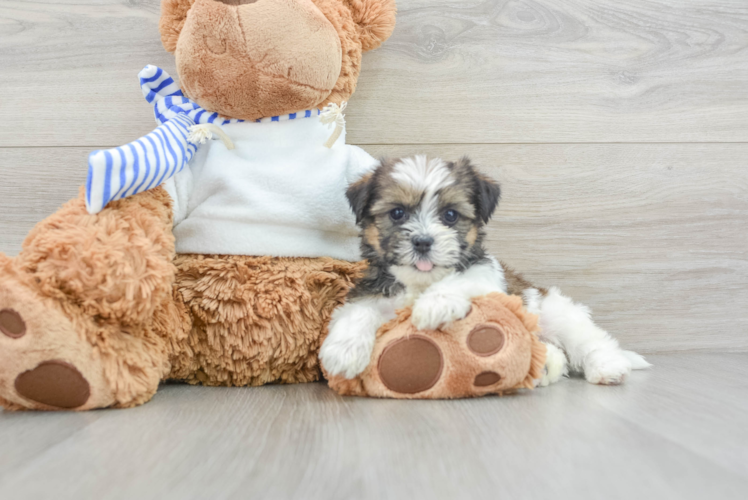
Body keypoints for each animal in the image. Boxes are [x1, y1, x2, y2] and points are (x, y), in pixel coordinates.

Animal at [322, 156, 648, 386]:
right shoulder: (374, 289)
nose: (423, 241)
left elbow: (461, 279)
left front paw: (434, 305)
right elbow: (358, 310)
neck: (420, 283)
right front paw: (343, 351)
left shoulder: (487, 277)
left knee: (590, 340)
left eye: (450, 215)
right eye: (398, 213)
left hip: (558, 313)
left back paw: (608, 367)